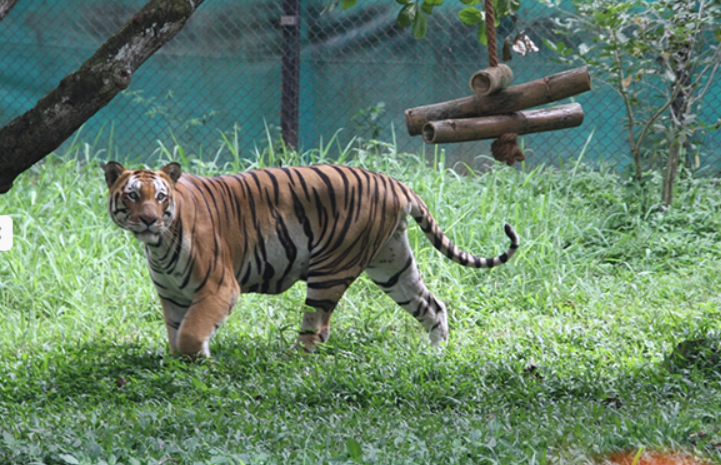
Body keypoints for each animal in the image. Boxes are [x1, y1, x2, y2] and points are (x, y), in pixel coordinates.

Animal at [102, 162, 519, 358]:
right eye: (132, 195)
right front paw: (184, 366)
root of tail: (395, 182)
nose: (149, 220)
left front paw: (201, 360)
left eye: (160, 197)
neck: (158, 246)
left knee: (315, 328)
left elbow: (191, 334)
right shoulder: (172, 297)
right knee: (432, 305)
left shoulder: (219, 288)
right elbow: (177, 336)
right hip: (392, 264)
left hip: (332, 268)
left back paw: (292, 359)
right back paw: (437, 353)